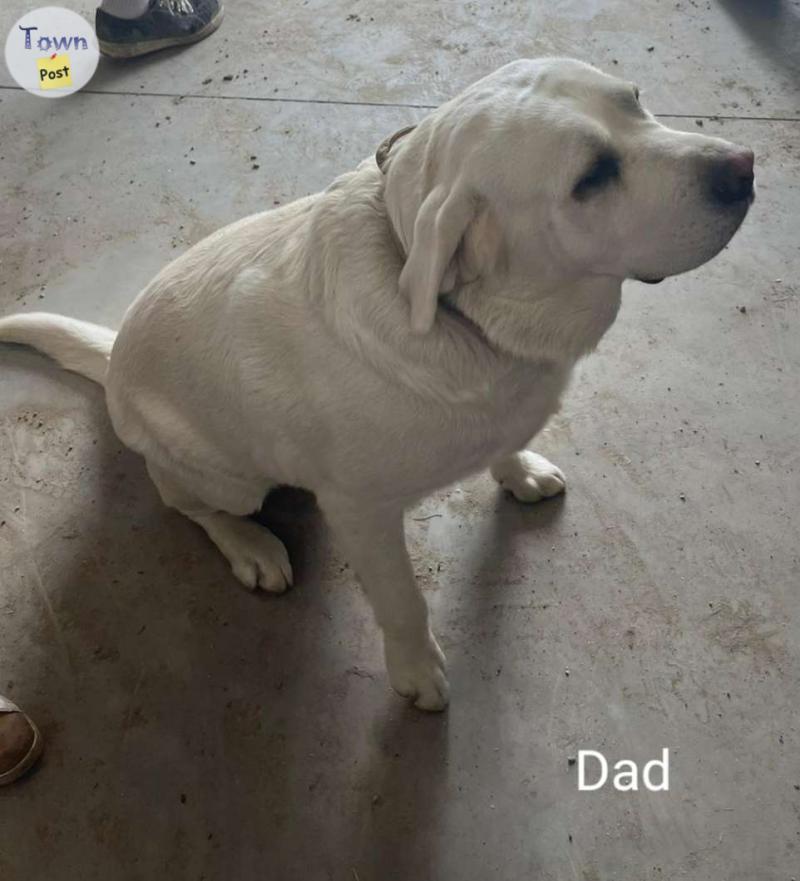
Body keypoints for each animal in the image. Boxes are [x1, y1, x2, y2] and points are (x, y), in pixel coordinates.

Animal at [0, 60, 752, 708]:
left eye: (637, 100)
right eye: (591, 177)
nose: (745, 169)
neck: (471, 320)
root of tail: (114, 356)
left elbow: (506, 446)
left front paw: (518, 470)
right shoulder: (364, 510)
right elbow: (402, 600)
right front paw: (416, 672)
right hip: (224, 476)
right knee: (184, 502)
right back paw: (250, 545)